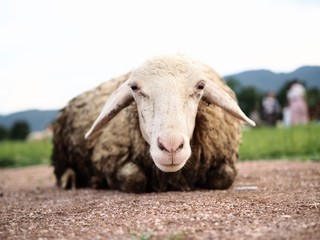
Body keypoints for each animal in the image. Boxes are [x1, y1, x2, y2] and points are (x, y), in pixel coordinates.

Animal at [52, 54, 255, 193]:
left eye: (200, 86)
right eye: (134, 88)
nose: (171, 146)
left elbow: (225, 177)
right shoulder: (108, 158)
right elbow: (134, 179)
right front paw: (100, 180)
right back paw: (70, 180)